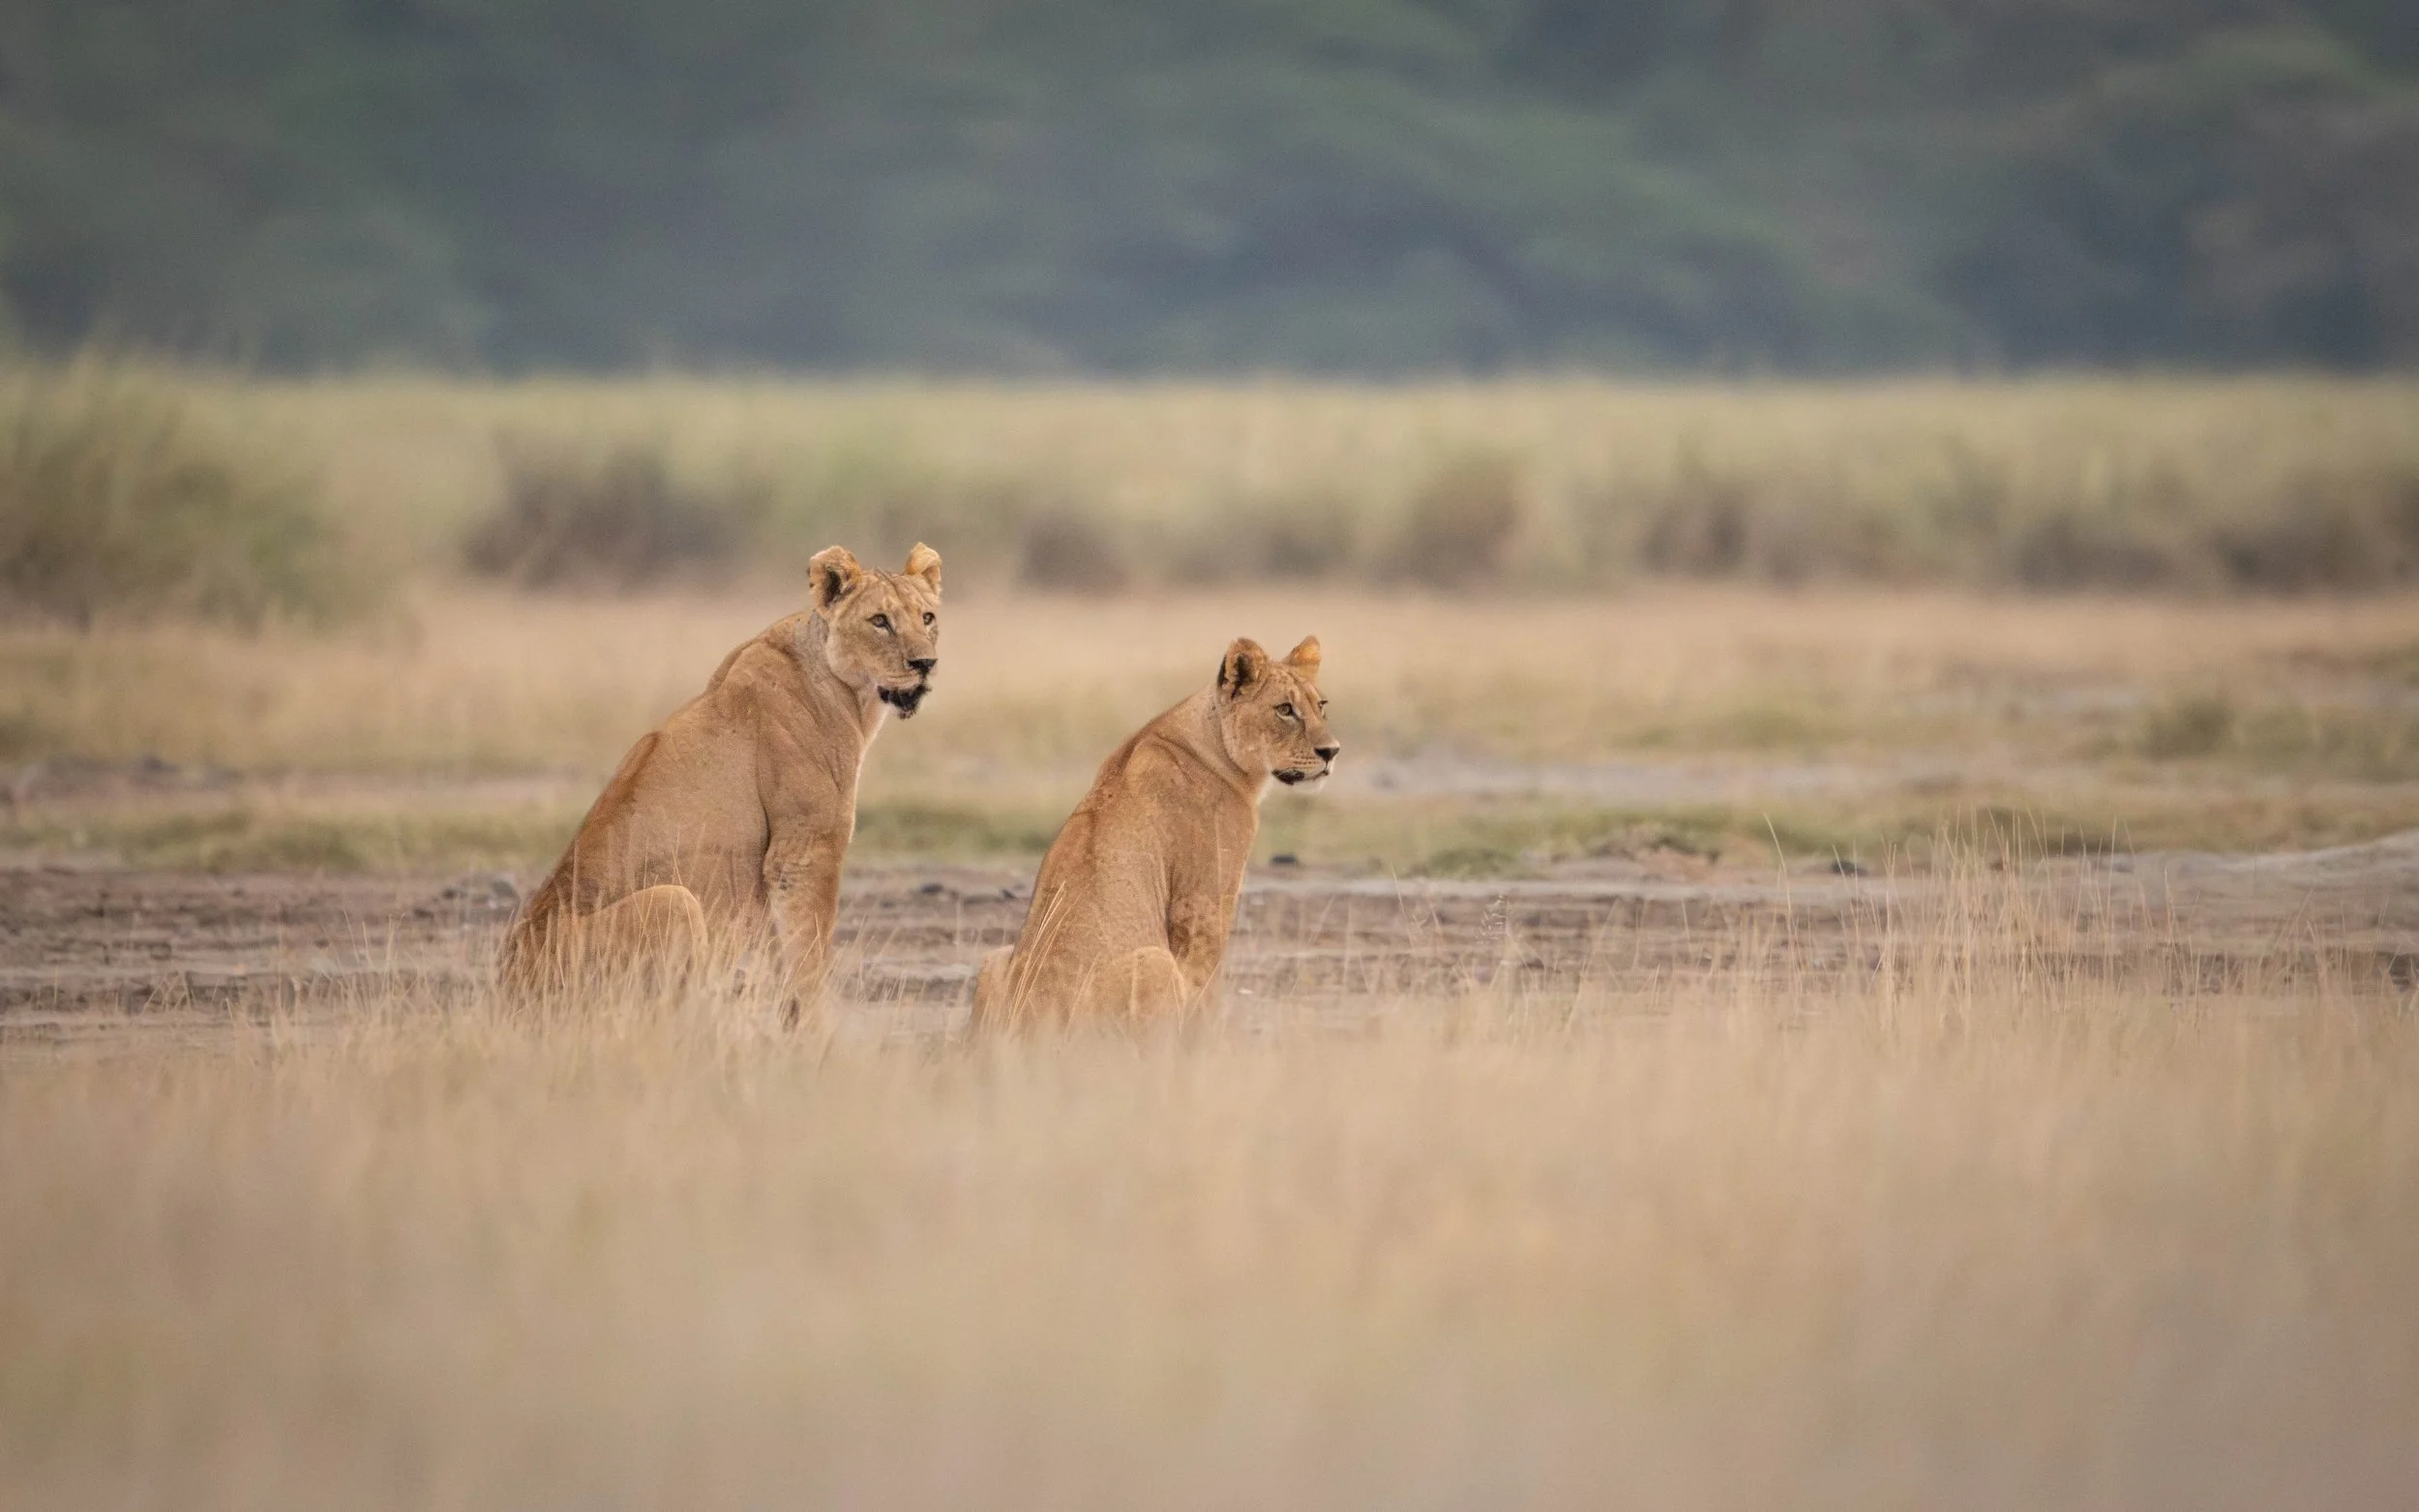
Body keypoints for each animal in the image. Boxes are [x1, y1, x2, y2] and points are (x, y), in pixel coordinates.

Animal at [499, 543, 942, 1002]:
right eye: (880, 621)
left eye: (927, 618)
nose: (926, 663)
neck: (854, 697)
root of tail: (507, 983)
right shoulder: (804, 848)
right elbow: (808, 957)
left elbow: (783, 957)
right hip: (673, 900)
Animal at [972, 634, 1336, 1028]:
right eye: (1285, 709)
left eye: (1321, 706)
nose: (1332, 752)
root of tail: (1028, 1023)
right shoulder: (1202, 903)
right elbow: (1204, 993)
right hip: (1154, 961)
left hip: (995, 957)